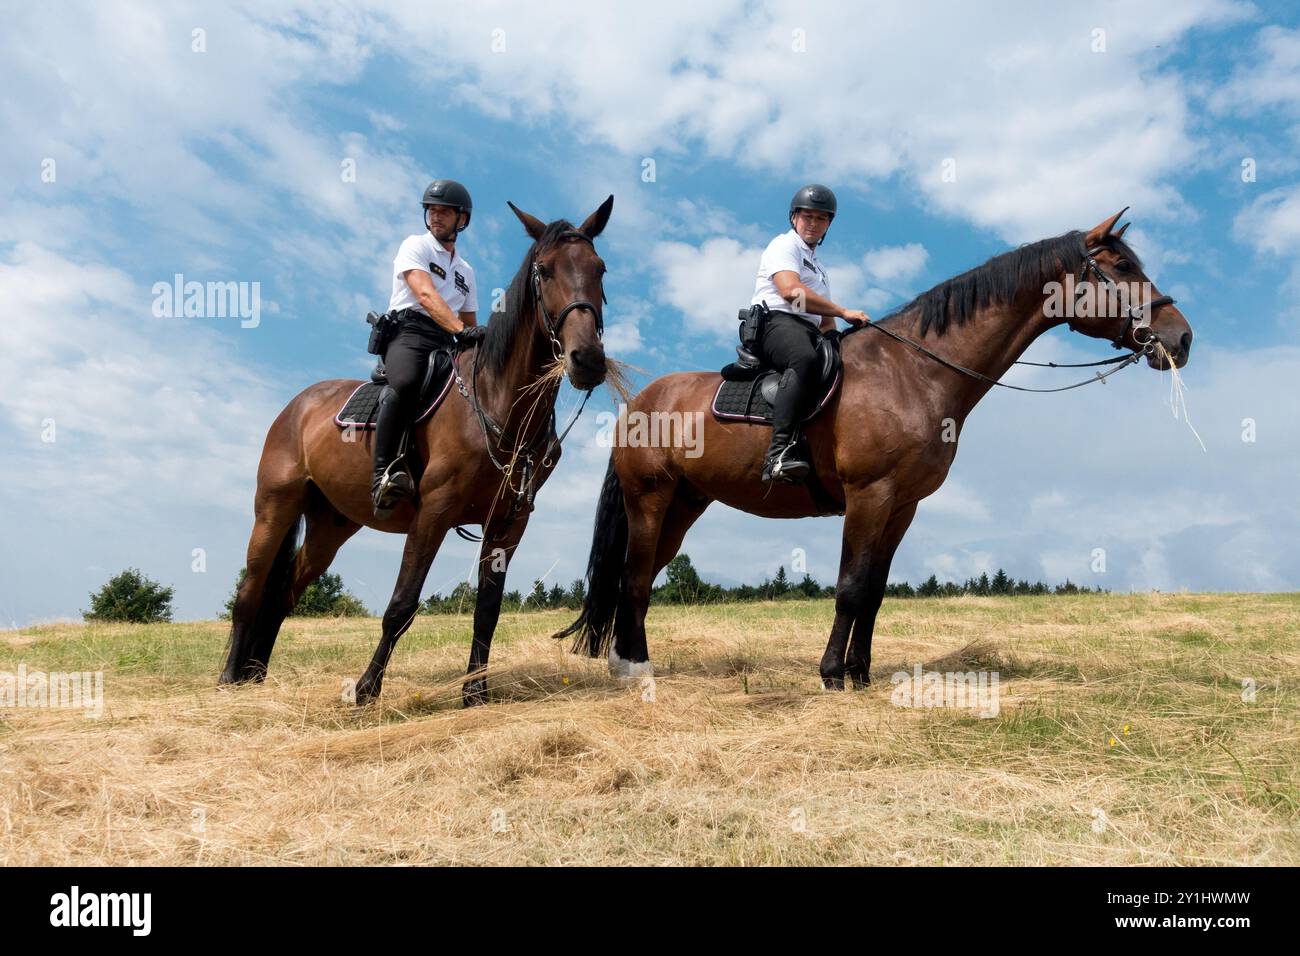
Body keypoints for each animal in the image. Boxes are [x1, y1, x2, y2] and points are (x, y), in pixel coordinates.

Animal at [219, 196, 613, 702]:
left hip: (329, 526)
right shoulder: (434, 512)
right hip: (274, 509)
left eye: (599, 269)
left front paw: (475, 693)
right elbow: (402, 604)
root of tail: (297, 405)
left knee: (283, 594)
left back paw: (255, 674)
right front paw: (366, 691)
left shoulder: (508, 523)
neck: (495, 399)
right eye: (543, 271)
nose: (588, 360)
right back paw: (230, 677)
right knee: (250, 592)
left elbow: (488, 611)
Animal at [553, 210, 1190, 686]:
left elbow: (876, 592)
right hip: (650, 499)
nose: (1181, 337)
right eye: (1123, 266)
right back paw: (634, 670)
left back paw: (626, 661)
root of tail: (638, 401)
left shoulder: (902, 505)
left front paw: (860, 672)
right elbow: (850, 586)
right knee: (634, 576)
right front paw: (833, 673)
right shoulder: (869, 495)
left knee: (636, 578)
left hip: (683, 505)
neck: (916, 371)